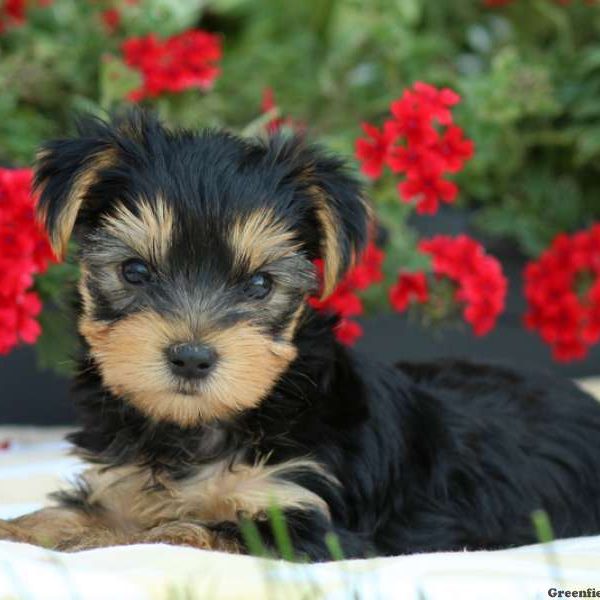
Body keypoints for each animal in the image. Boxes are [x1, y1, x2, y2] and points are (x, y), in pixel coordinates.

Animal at [1, 111, 600, 556]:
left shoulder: (308, 514)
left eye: (260, 284)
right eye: (134, 271)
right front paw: (27, 528)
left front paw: (106, 540)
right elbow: (83, 511)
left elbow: (185, 532)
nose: (191, 357)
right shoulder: (122, 482)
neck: (198, 430)